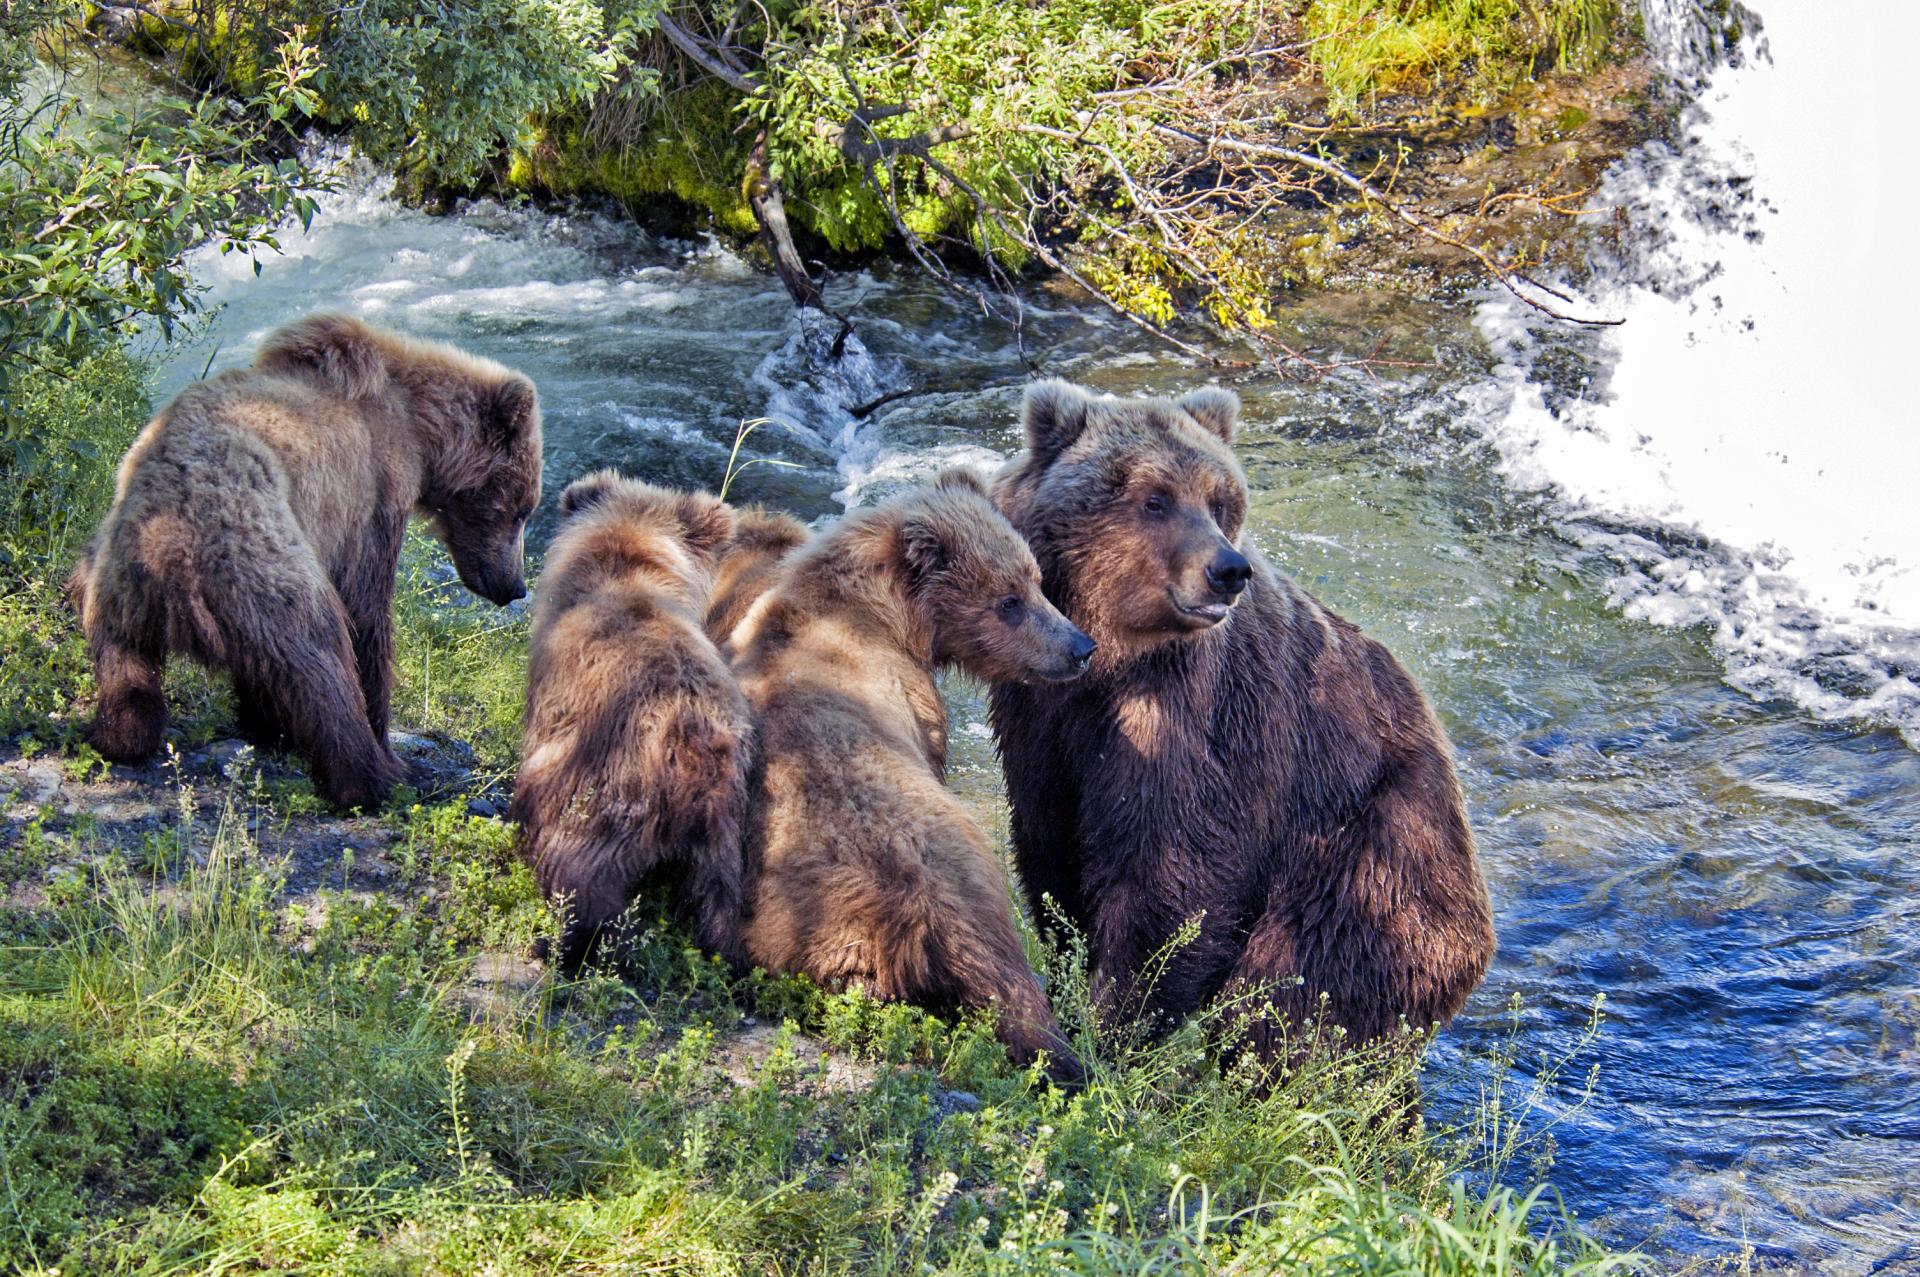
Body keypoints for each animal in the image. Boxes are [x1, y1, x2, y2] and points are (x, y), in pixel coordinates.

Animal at [70, 309, 541, 806]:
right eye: (521, 509)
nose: (515, 587)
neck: (417, 429)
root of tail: (165, 552)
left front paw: (265, 728)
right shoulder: (370, 493)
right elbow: (367, 612)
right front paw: (381, 733)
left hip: (108, 578)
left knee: (126, 672)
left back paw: (119, 735)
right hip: (259, 553)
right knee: (317, 650)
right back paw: (375, 776)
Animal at [514, 470, 752, 975]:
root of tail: (692, 743)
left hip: (605, 785)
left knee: (580, 872)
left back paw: (568, 946)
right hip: (727, 822)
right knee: (720, 901)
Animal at [729, 470, 1098, 1083]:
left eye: (1036, 581)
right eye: (1008, 601)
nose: (1080, 647)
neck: (880, 614)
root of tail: (922, 910)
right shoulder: (910, 695)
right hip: (952, 870)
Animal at [990, 378, 1497, 1067]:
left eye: (1218, 498)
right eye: (1154, 498)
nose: (1227, 569)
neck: (1111, 660)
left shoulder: (1200, 713)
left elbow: (1178, 871)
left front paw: (1118, 1023)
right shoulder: (1040, 717)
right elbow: (1052, 845)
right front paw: (1070, 989)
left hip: (1373, 839)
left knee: (1309, 970)